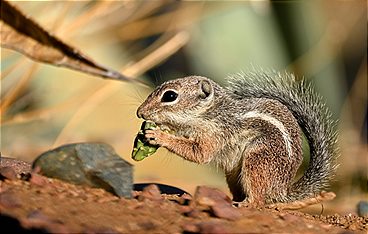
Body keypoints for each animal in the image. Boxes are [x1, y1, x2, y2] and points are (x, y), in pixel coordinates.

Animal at [137, 69, 338, 205]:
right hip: (234, 173)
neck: (210, 113)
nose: (140, 112)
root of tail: (281, 190)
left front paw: (158, 135)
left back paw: (245, 204)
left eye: (170, 96)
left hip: (257, 159)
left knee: (258, 200)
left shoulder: (214, 135)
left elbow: (199, 154)